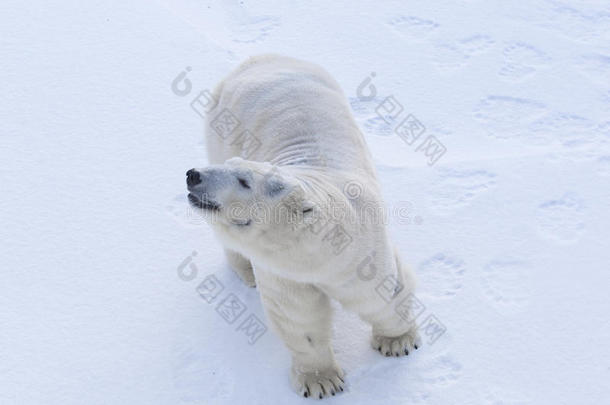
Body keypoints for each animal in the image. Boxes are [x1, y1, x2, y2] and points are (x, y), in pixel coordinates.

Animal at [185, 54, 420, 398]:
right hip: (219, 130)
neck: (319, 255)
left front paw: (397, 342)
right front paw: (321, 381)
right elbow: (299, 317)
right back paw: (246, 273)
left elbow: (379, 292)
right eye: (231, 168)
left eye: (243, 180)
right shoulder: (284, 273)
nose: (194, 175)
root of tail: (259, 59)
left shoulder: (361, 252)